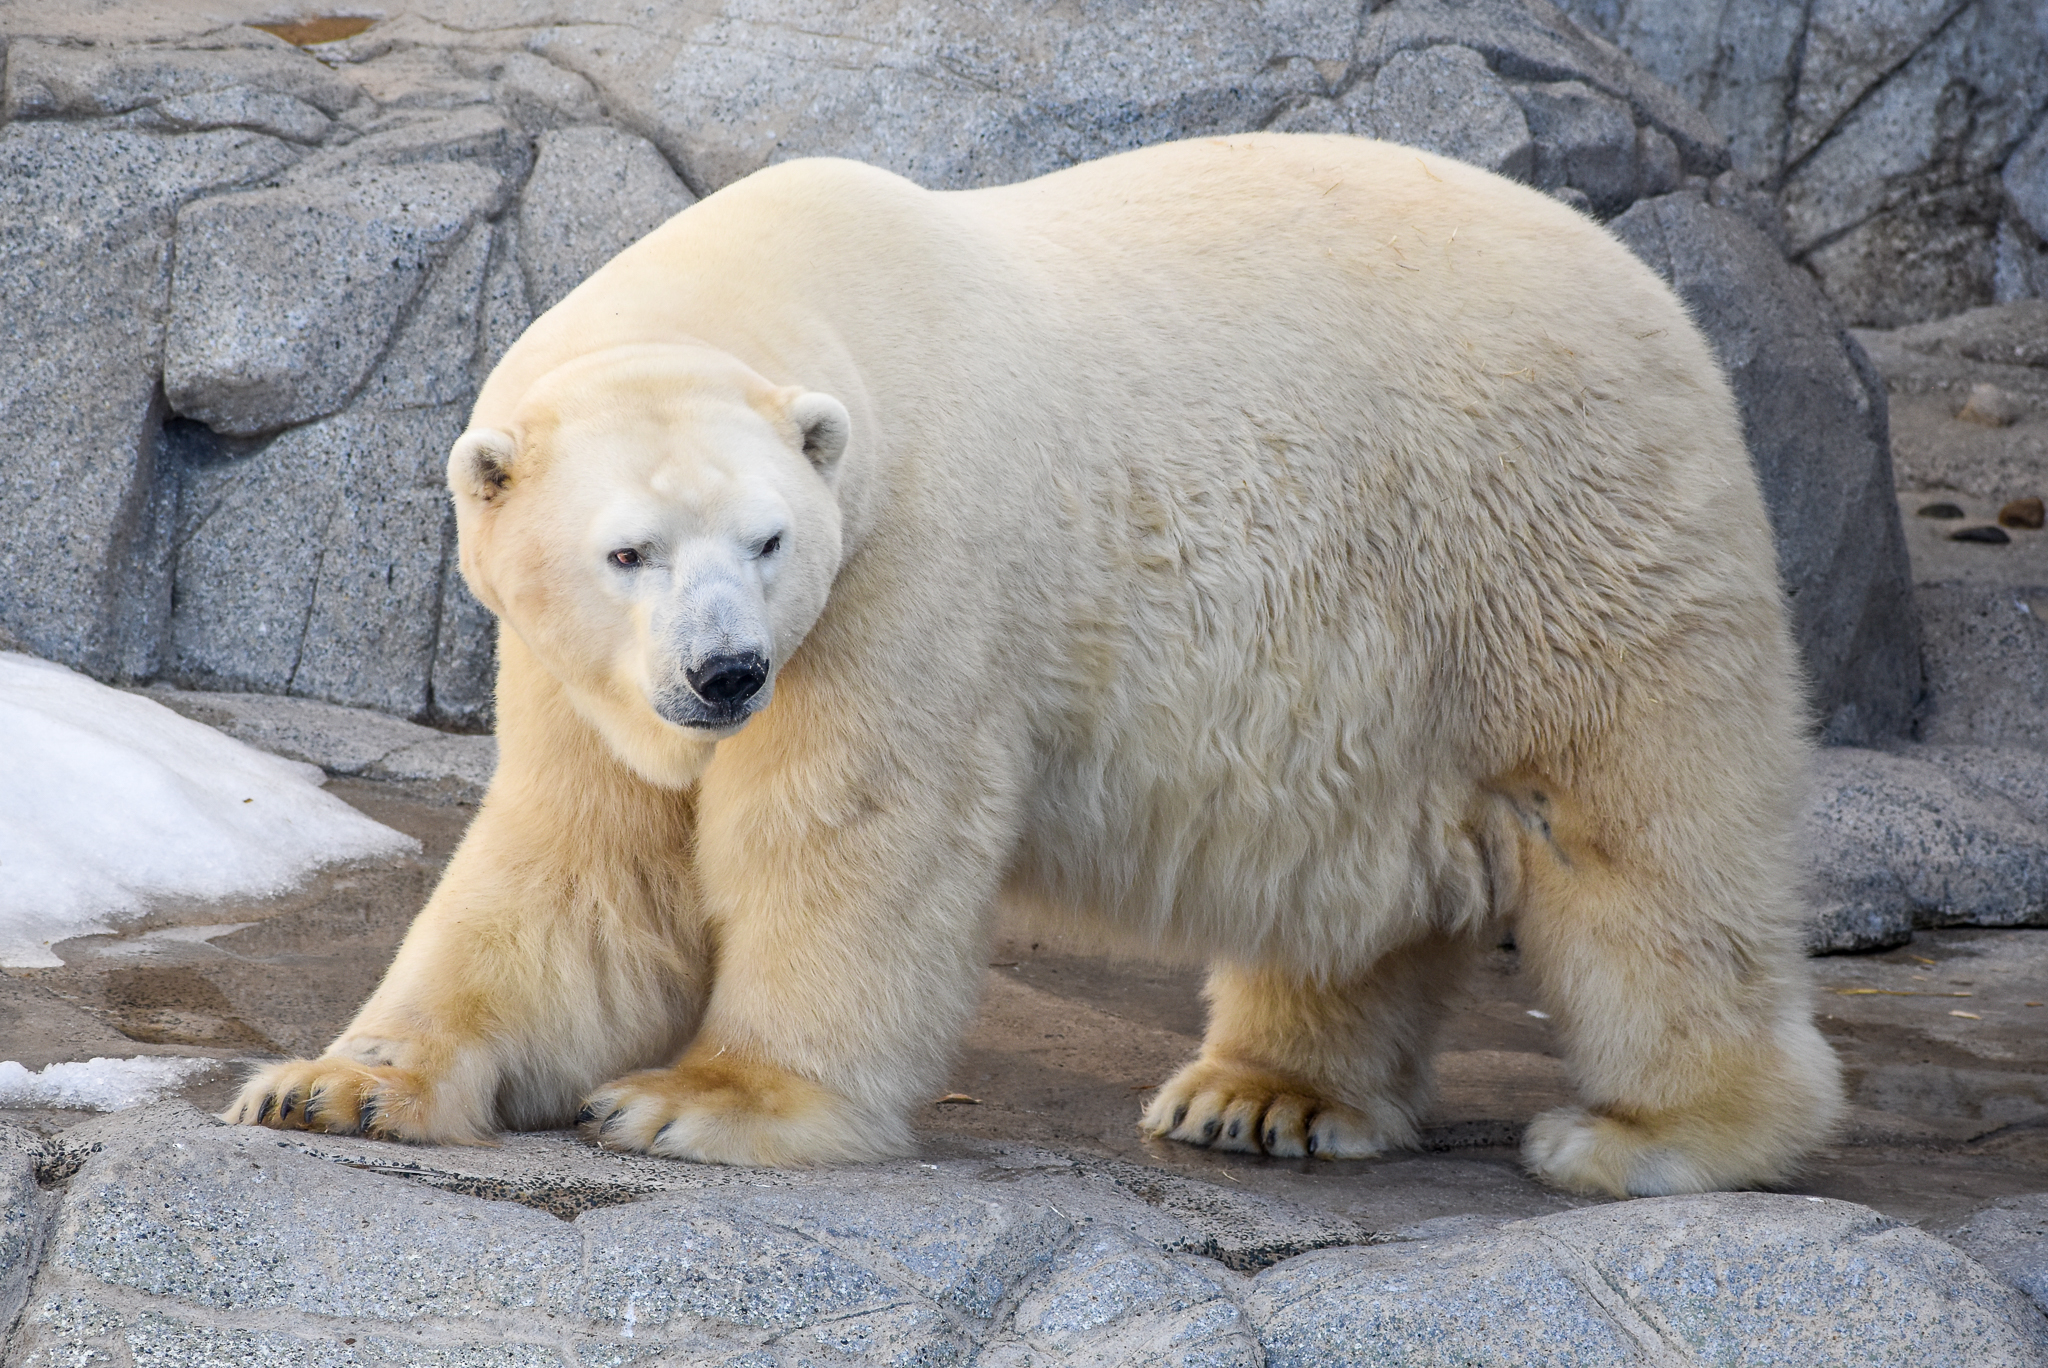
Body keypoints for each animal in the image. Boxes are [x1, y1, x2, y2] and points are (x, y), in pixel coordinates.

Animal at [226, 132, 1844, 1196]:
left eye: (767, 540)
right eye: (628, 551)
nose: (729, 676)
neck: (787, 305)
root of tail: (1650, 290)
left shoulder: (907, 567)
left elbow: (850, 833)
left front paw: (704, 1103)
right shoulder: (583, 673)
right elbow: (575, 870)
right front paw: (334, 1083)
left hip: (1550, 531)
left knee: (1639, 829)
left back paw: (1655, 1133)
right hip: (1393, 646)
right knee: (1354, 882)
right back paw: (1262, 1096)